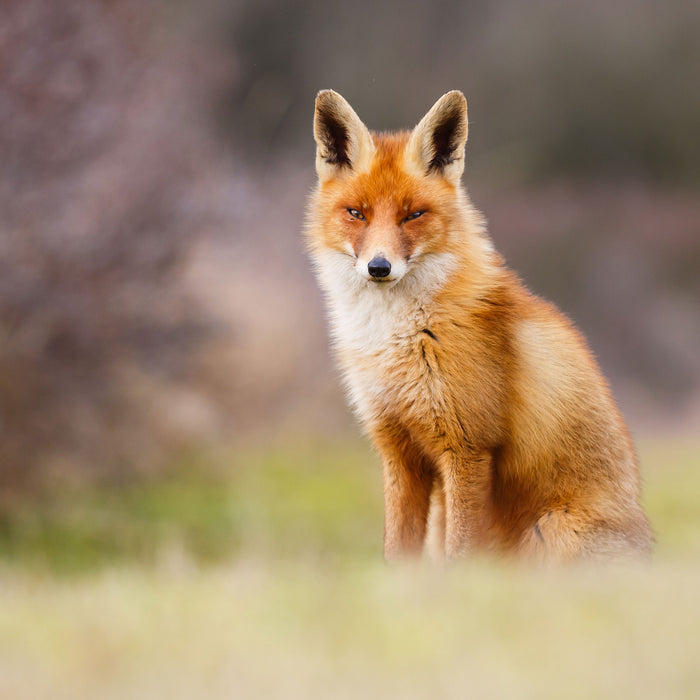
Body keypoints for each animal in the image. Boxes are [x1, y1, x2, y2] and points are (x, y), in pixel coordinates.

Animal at [304, 89, 652, 564]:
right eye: (356, 213)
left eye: (413, 215)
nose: (379, 267)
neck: (398, 339)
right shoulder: (398, 450)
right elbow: (397, 552)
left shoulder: (467, 447)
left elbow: (461, 554)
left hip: (551, 529)